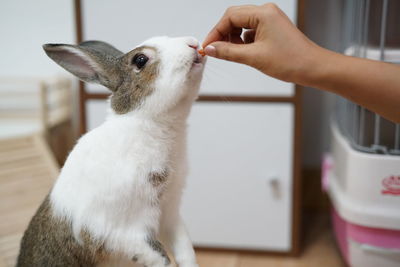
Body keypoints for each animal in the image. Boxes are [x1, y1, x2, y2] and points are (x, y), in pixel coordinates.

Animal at [16, 36, 206, 267]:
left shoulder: (169, 213)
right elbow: (159, 257)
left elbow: (184, 249)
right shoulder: (121, 232)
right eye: (140, 59)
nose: (193, 43)